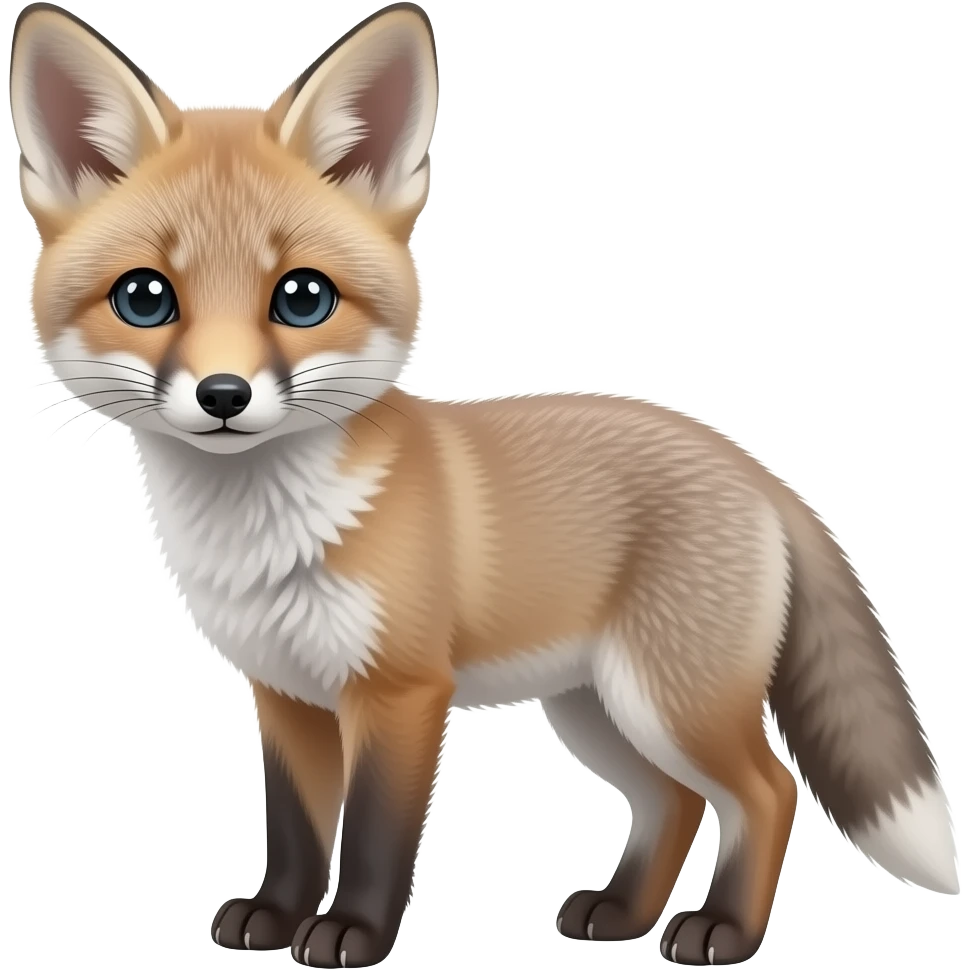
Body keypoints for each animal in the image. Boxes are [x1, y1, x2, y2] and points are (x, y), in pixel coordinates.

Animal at [12, 1, 962, 966]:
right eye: (144, 298)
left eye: (303, 298)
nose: (224, 396)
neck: (268, 533)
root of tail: (749, 464)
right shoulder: (284, 695)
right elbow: (297, 832)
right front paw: (273, 917)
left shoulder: (400, 691)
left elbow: (375, 835)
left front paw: (352, 932)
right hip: (595, 711)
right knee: (675, 799)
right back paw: (621, 914)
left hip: (668, 702)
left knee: (767, 790)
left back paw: (724, 930)